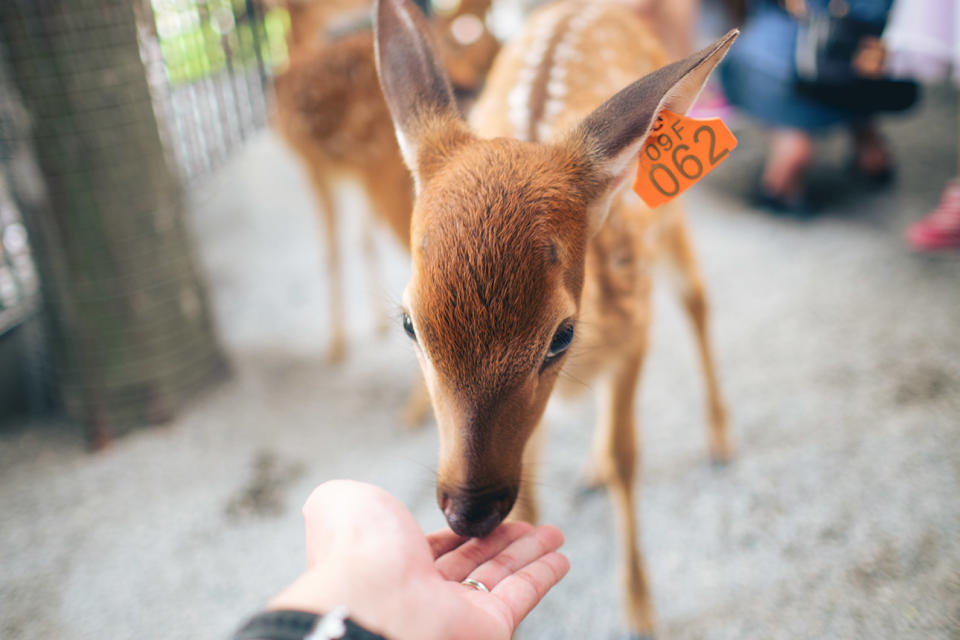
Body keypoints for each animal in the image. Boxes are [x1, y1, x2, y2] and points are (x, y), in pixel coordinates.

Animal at [376, 0, 736, 632]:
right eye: (409, 324)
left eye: (560, 335)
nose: (469, 512)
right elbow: (540, 475)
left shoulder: (637, 327)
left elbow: (626, 457)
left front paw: (640, 611)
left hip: (672, 221)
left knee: (697, 300)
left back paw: (719, 438)